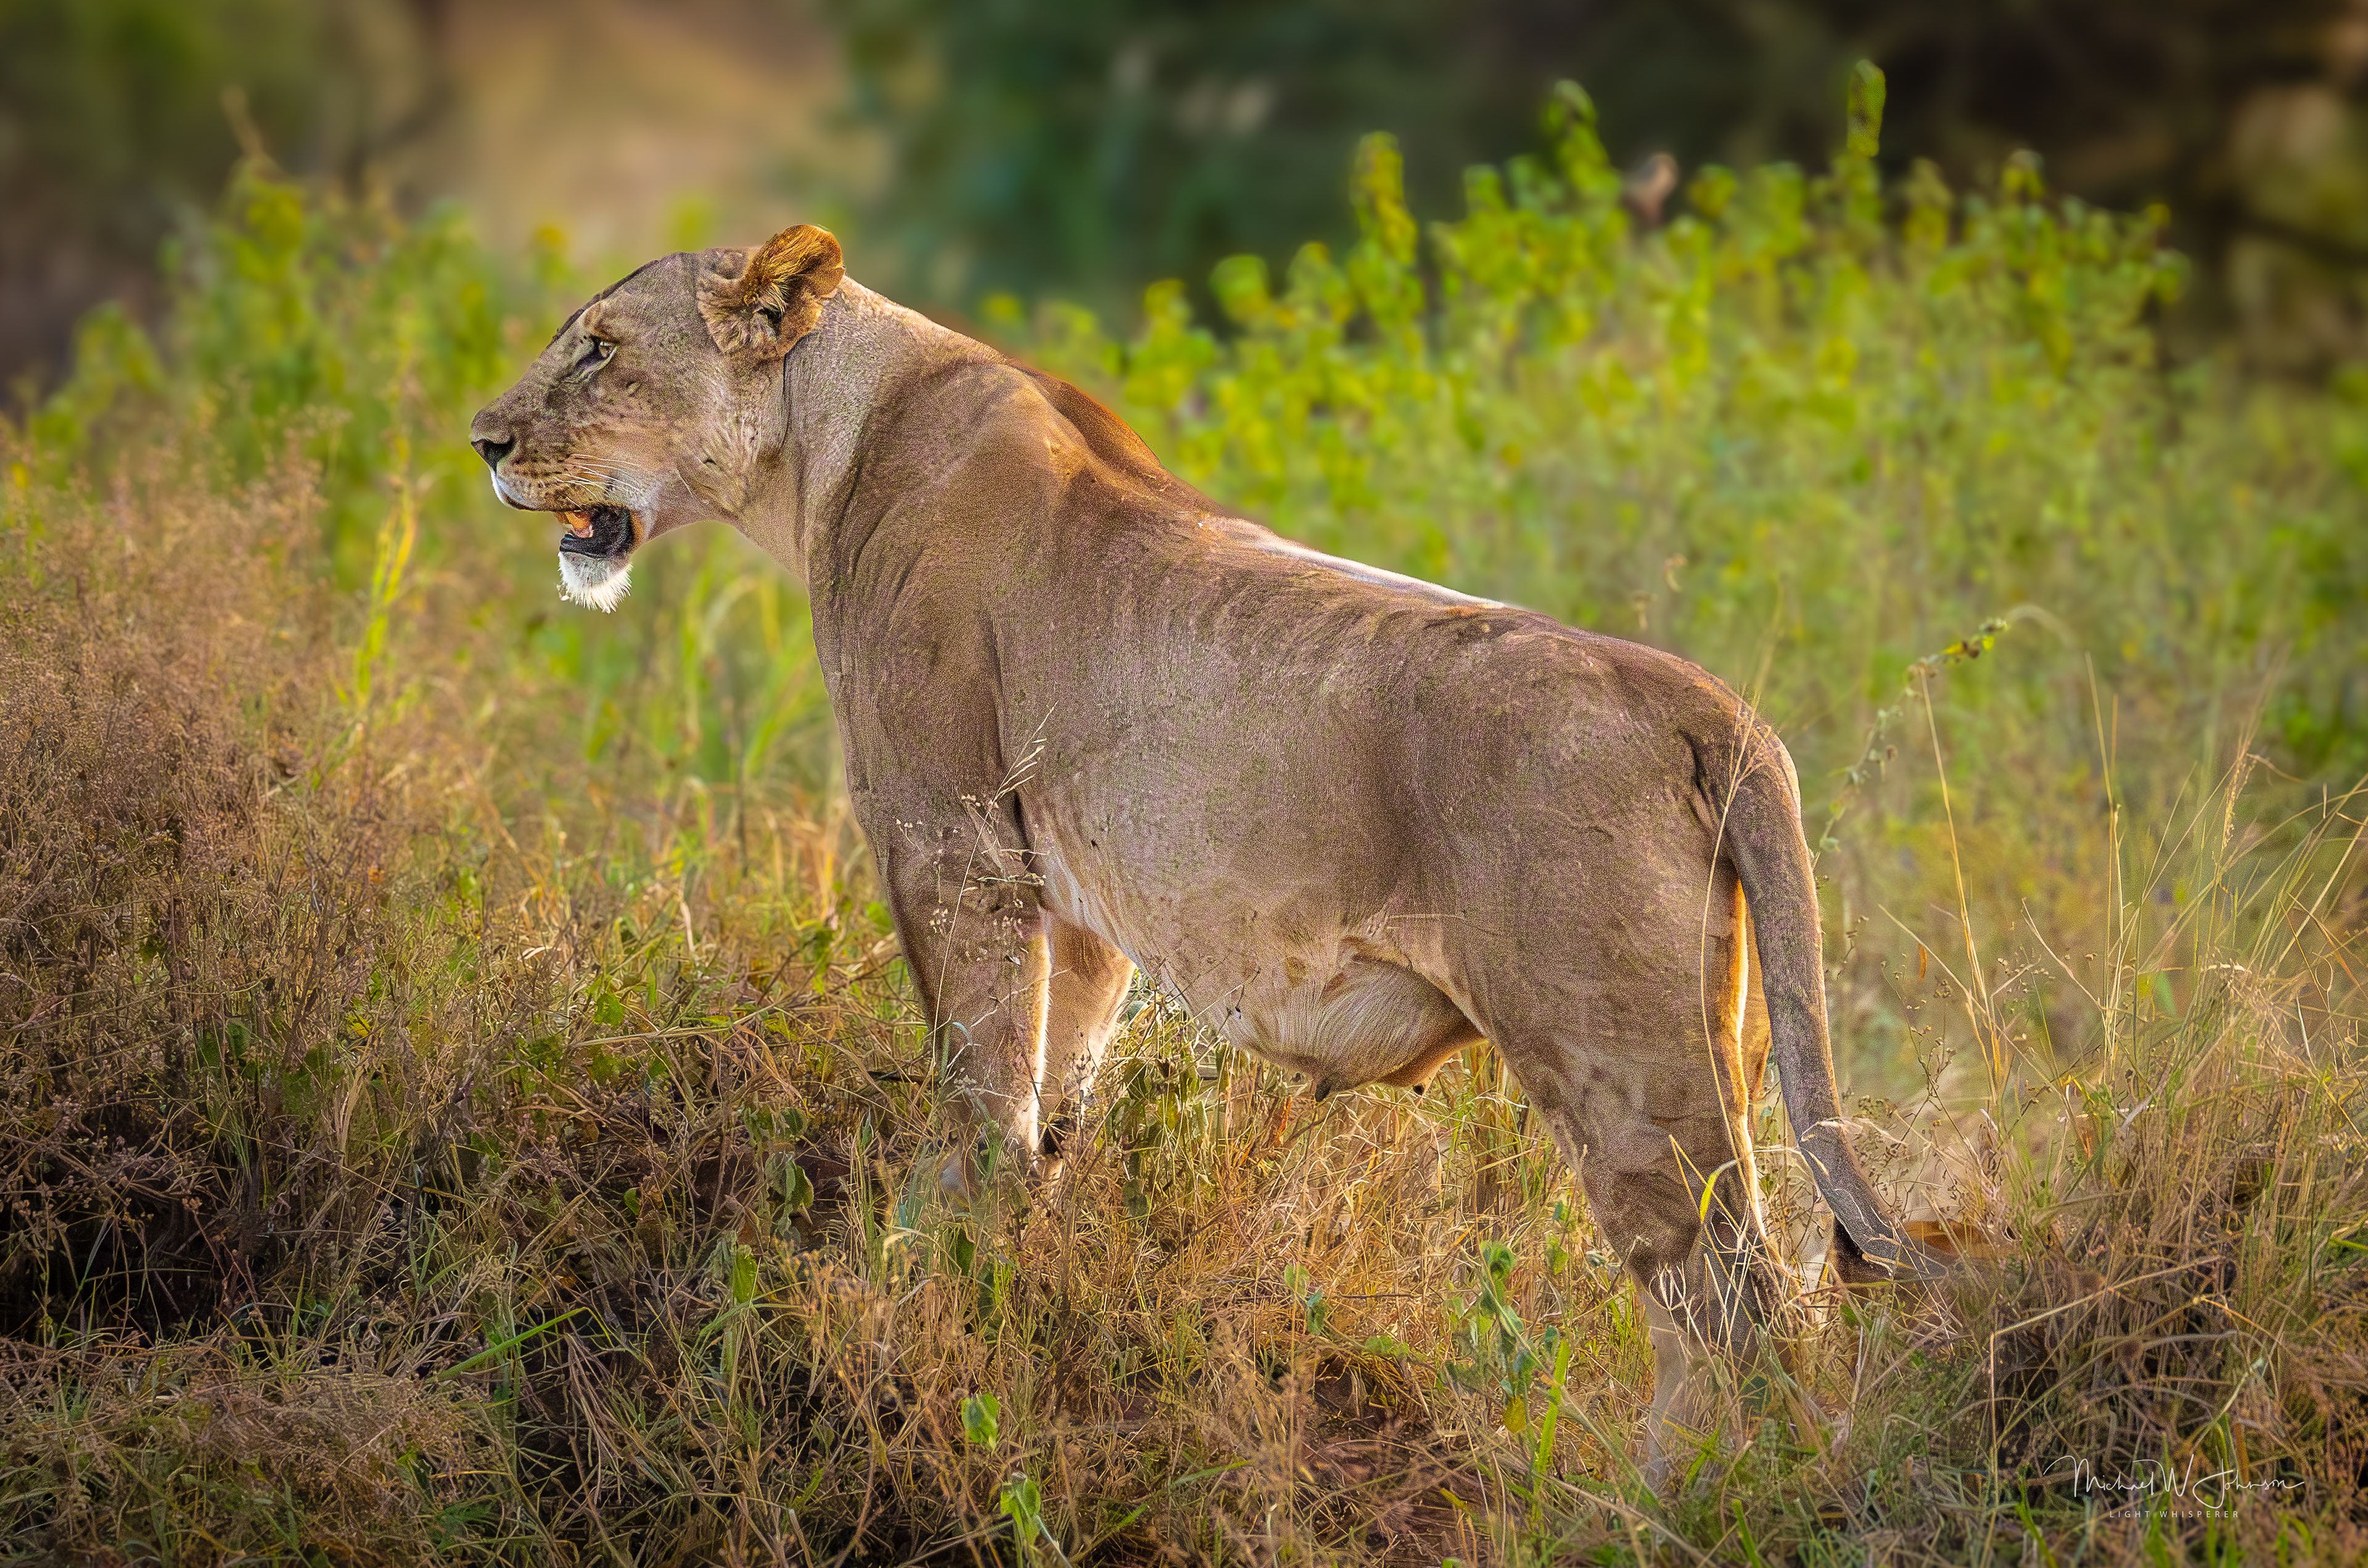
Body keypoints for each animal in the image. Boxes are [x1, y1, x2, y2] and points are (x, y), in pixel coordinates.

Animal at [470, 224, 1938, 1483]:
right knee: (1736, 1307)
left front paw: (917, 1292)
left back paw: (1671, 1509)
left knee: (1733, 1310)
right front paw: (1011, 1267)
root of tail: (1701, 696)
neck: (826, 443)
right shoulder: (1075, 905)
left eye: (598, 346)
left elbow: (972, 1094)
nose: (481, 440)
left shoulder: (949, 837)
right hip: (1726, 1030)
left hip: (1619, 1060)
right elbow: (1048, 1106)